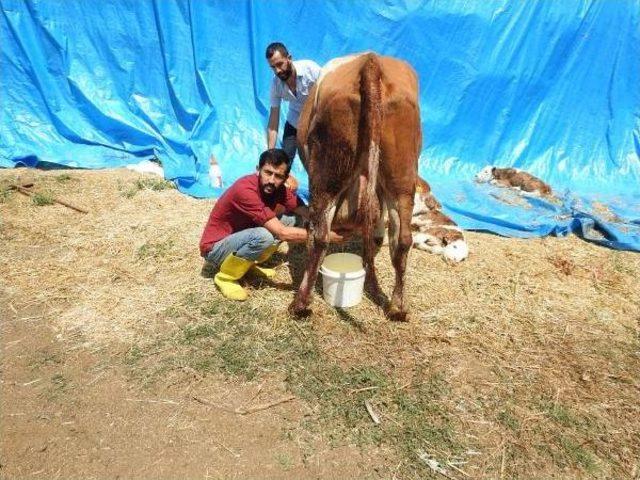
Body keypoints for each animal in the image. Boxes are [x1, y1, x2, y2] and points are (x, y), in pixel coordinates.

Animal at [288, 52, 420, 320]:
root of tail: (370, 61)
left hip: (327, 173)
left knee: (319, 236)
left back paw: (301, 303)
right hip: (402, 177)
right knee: (402, 239)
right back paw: (397, 307)